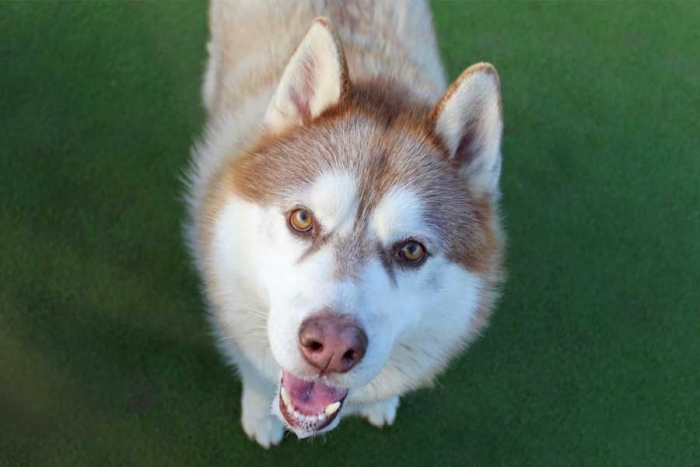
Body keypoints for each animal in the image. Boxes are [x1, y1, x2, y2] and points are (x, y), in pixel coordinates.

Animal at [185, 0, 504, 450]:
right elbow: (255, 369)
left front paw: (382, 403)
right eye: (302, 218)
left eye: (411, 250)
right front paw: (259, 413)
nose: (333, 348)